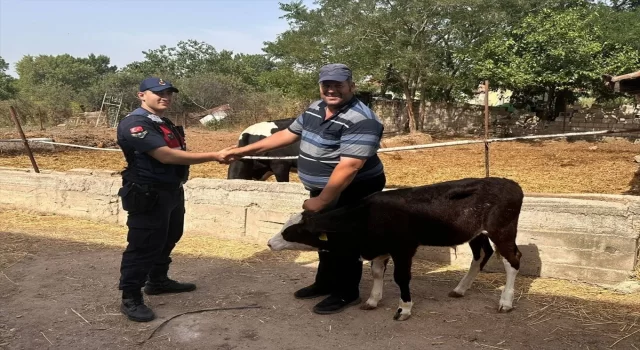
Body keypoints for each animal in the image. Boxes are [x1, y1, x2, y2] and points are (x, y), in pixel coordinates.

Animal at [270, 178, 524, 320]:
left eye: (292, 232)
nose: (270, 243)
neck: (367, 217)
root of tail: (511, 184)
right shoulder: (379, 247)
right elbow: (376, 273)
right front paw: (373, 300)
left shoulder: (403, 248)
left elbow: (401, 278)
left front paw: (404, 309)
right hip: (476, 233)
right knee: (481, 255)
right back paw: (460, 289)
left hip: (502, 230)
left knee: (512, 260)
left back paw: (506, 302)